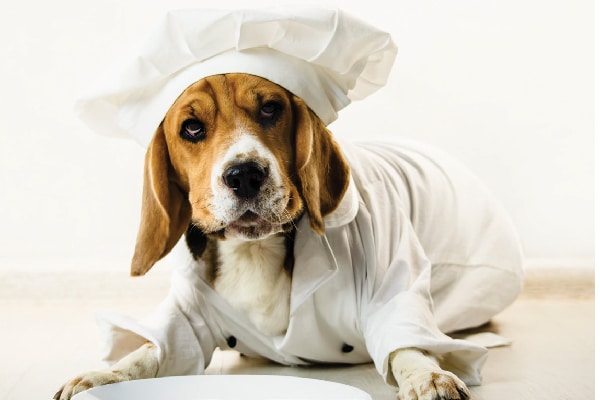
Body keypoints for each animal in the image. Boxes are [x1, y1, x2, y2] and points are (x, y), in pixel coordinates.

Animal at [56, 74, 472, 400]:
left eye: (271, 109)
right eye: (191, 127)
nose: (244, 175)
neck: (253, 249)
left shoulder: (389, 281)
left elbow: (406, 342)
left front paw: (427, 376)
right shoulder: (186, 317)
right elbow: (148, 350)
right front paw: (102, 377)